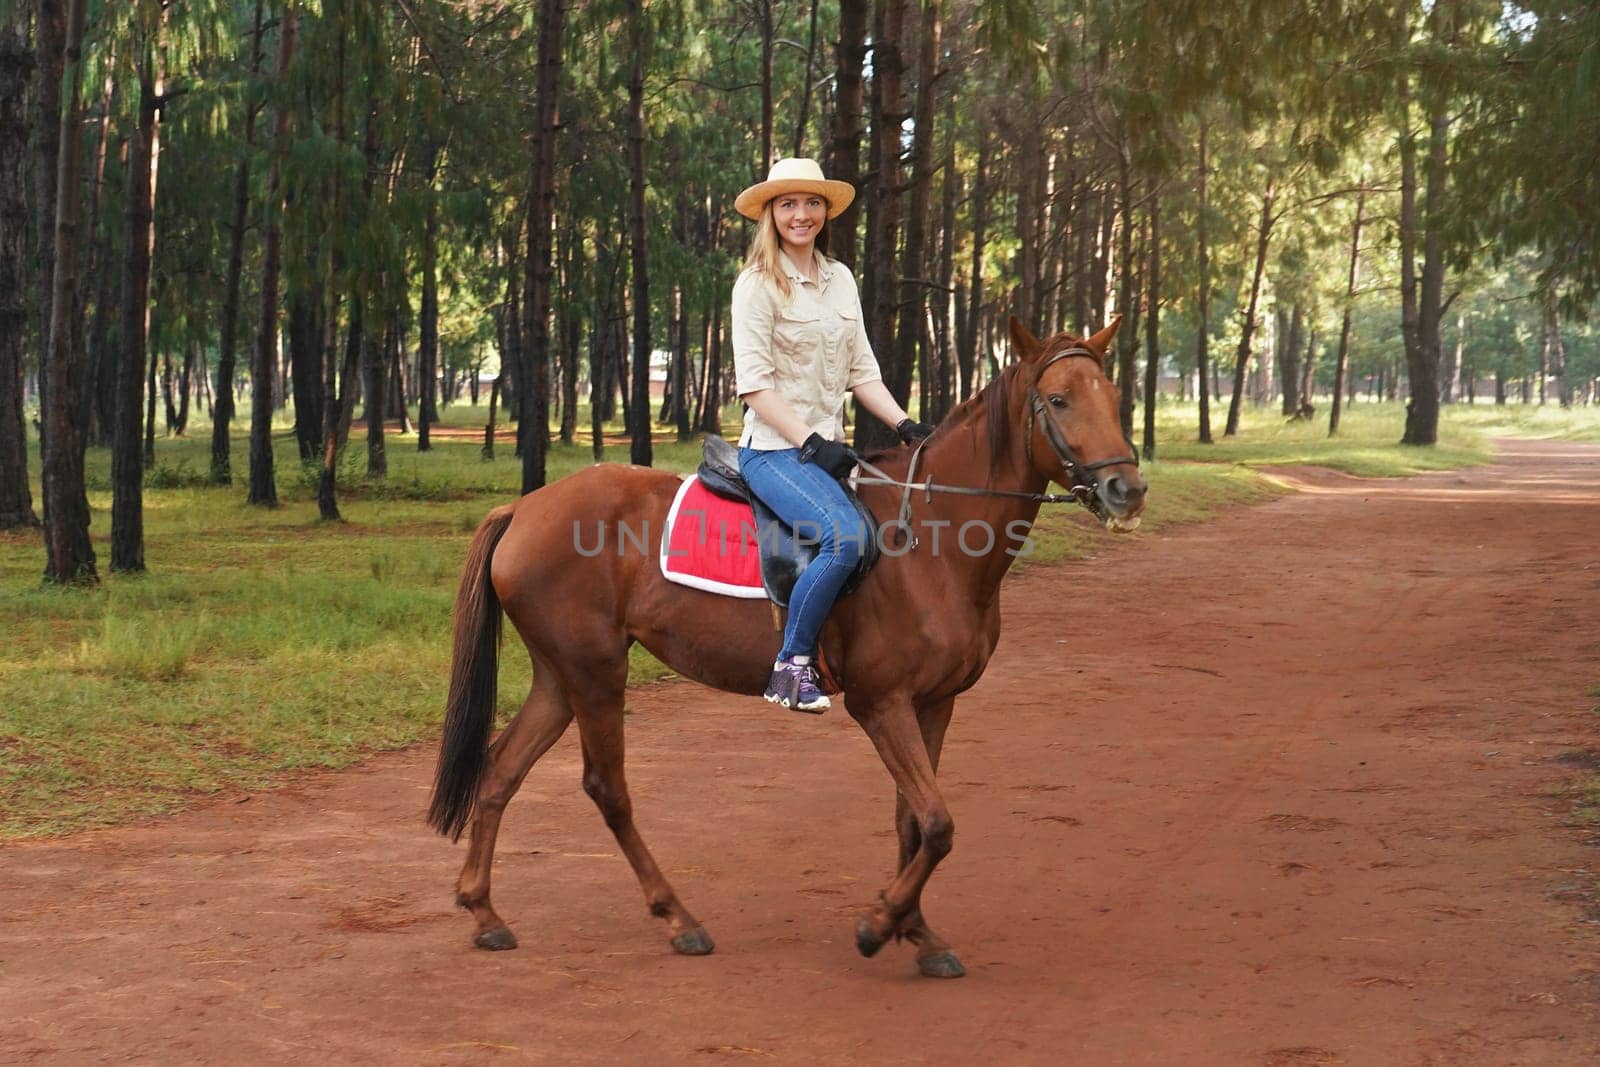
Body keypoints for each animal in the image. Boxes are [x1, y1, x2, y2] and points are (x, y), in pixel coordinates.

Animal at [432, 315, 1145, 979]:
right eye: (1057, 399)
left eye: (1113, 395)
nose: (1127, 490)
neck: (933, 541)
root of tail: (524, 510)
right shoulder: (881, 702)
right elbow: (938, 825)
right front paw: (879, 925)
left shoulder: (934, 703)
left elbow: (914, 822)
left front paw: (917, 933)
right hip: (595, 671)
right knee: (607, 787)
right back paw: (678, 919)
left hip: (561, 675)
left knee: (500, 770)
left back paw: (485, 912)